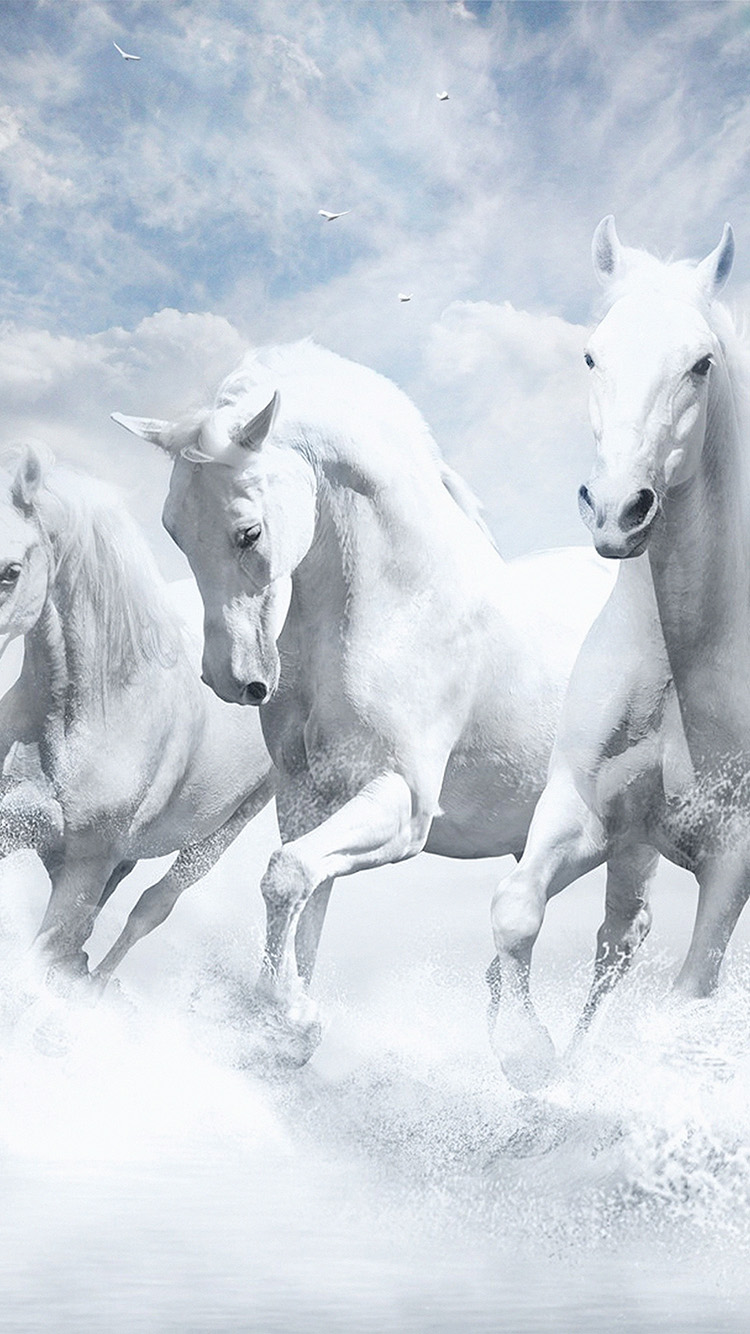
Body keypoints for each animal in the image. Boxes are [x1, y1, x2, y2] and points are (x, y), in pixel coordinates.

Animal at [112, 340, 657, 1066]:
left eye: (248, 533)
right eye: (174, 531)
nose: (233, 681)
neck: (398, 609)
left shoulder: (402, 803)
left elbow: (286, 877)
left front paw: (293, 1018)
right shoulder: (309, 798)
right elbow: (304, 901)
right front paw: (288, 1026)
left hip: (634, 834)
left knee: (621, 936)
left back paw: (560, 1066)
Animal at [486, 217, 750, 1088]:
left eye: (700, 363)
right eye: (592, 355)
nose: (615, 511)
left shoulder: (733, 854)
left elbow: (691, 994)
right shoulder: (587, 809)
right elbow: (516, 909)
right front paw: (526, 1057)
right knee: (616, 940)